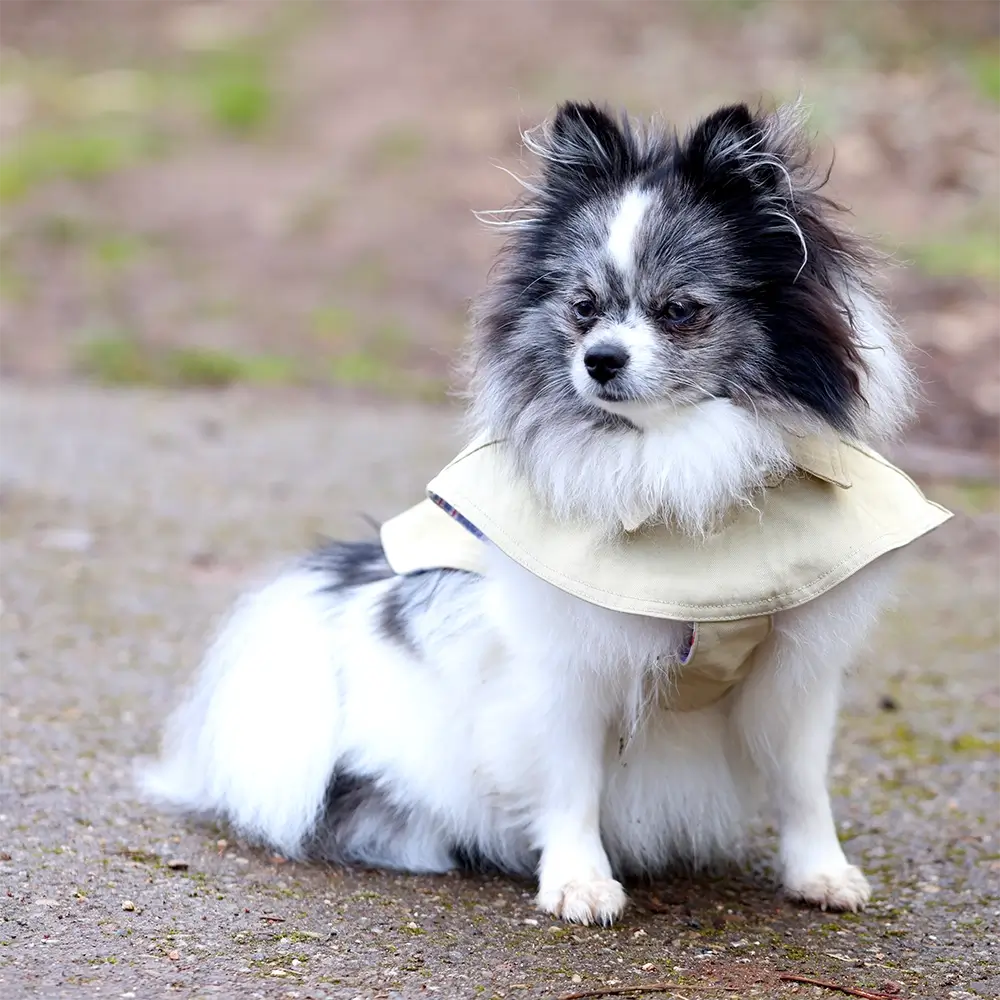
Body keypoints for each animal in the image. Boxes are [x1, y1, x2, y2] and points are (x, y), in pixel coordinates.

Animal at [143, 99, 928, 920]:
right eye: (582, 308)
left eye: (679, 310)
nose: (600, 359)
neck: (675, 460)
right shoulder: (566, 667)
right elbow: (571, 782)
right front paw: (578, 881)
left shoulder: (797, 667)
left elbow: (803, 784)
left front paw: (821, 873)